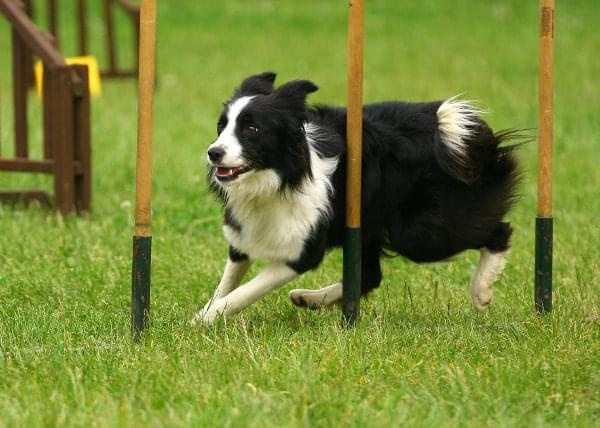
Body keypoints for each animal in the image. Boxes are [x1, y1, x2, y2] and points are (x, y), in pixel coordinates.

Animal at [192, 72, 520, 324]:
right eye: (221, 126)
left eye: (251, 129)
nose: (213, 152)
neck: (278, 179)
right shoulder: (243, 236)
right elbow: (228, 283)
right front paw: (205, 313)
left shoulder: (303, 249)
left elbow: (245, 291)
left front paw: (206, 319)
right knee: (371, 275)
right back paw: (311, 298)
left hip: (420, 232)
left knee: (499, 230)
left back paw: (481, 290)